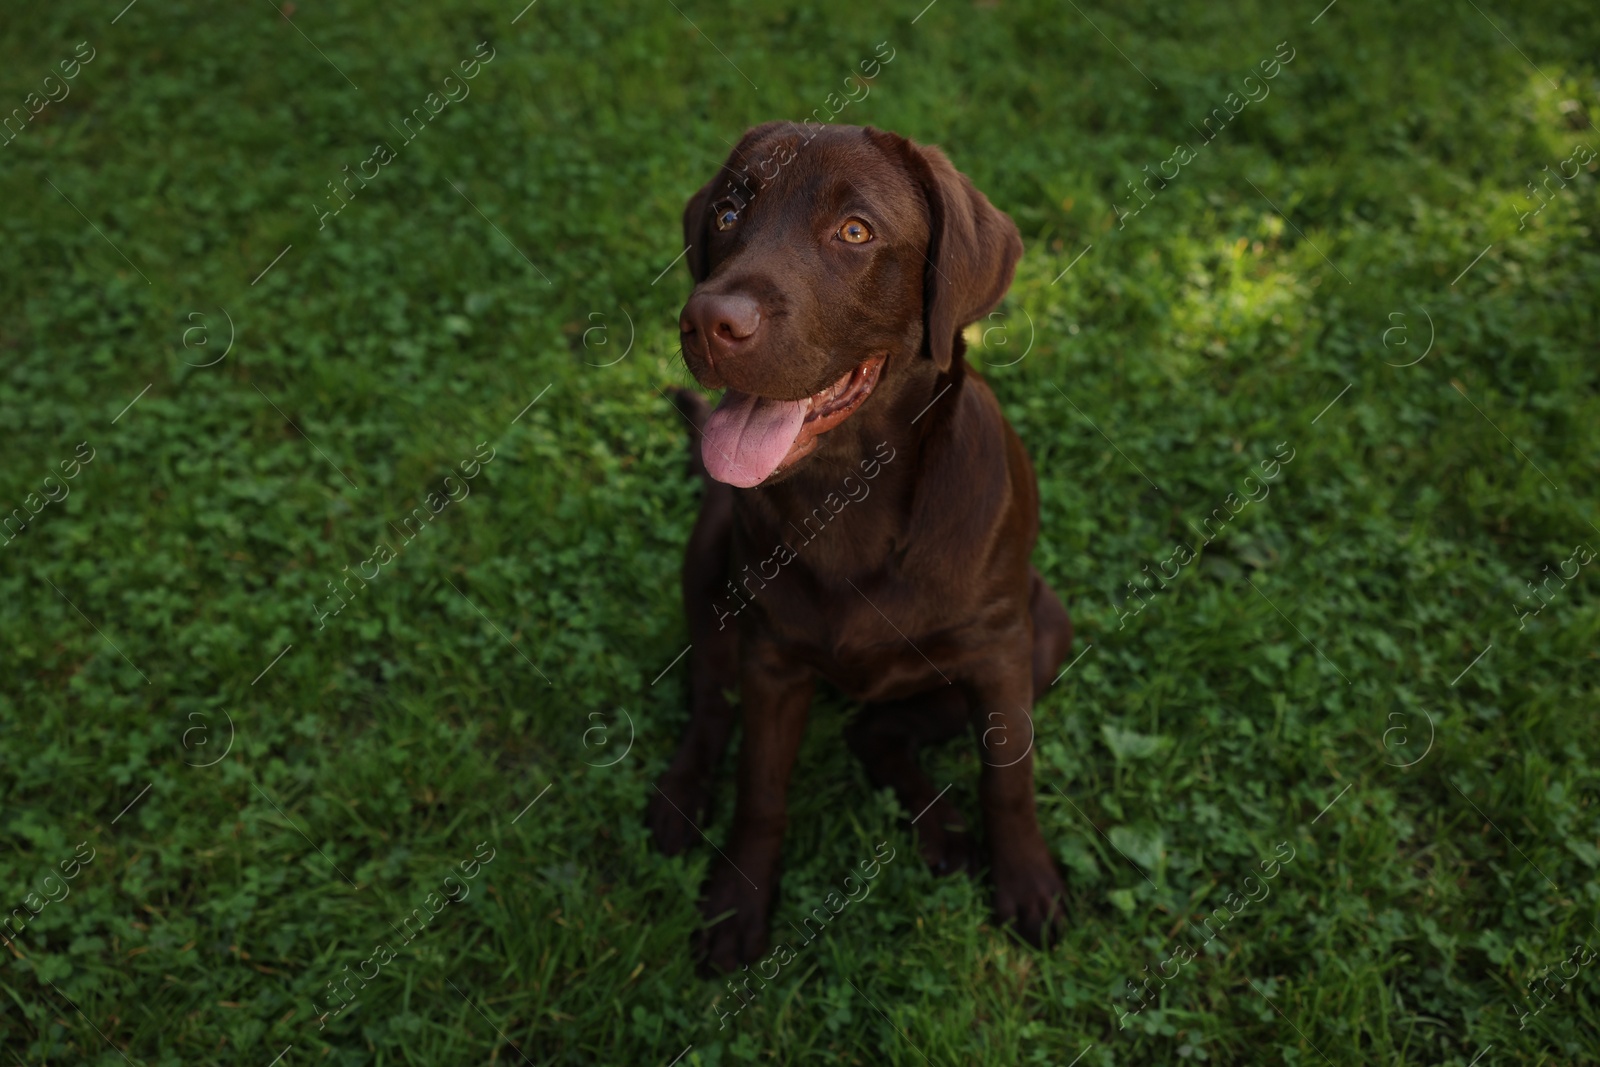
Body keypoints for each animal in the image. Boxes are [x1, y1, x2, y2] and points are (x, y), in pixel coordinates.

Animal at [646, 120, 1075, 972]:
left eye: (855, 232)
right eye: (728, 213)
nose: (708, 320)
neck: (848, 496)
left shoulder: (1001, 650)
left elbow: (1008, 776)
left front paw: (1026, 882)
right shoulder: (772, 661)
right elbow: (760, 790)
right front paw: (736, 905)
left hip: (1047, 626)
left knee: (875, 729)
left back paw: (939, 827)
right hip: (706, 561)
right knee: (711, 699)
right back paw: (680, 799)